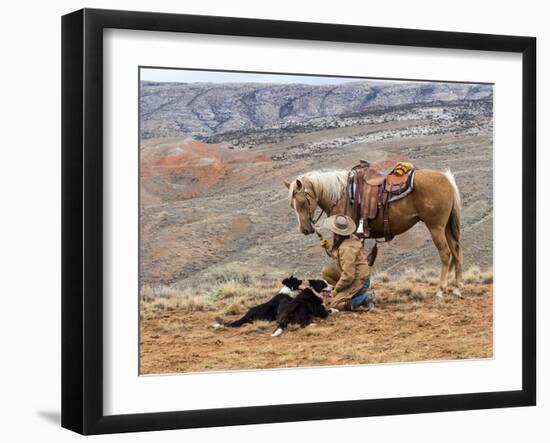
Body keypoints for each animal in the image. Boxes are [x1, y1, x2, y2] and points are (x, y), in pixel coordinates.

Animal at [286, 169, 464, 298]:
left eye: (302, 202)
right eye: (291, 205)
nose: (305, 229)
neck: (342, 196)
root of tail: (446, 178)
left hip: (436, 227)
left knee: (446, 253)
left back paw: (440, 290)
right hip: (447, 227)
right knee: (456, 251)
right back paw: (457, 288)